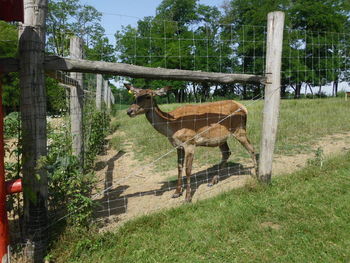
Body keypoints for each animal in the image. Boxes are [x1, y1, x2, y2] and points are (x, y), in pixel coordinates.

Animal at [126, 83, 258, 203]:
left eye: (148, 96)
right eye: (135, 95)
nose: (129, 111)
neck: (172, 126)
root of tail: (243, 107)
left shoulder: (190, 142)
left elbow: (188, 169)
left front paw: (187, 198)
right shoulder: (178, 146)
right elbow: (179, 167)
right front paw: (176, 193)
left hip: (239, 130)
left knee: (251, 149)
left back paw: (257, 175)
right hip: (222, 138)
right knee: (227, 153)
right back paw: (212, 181)